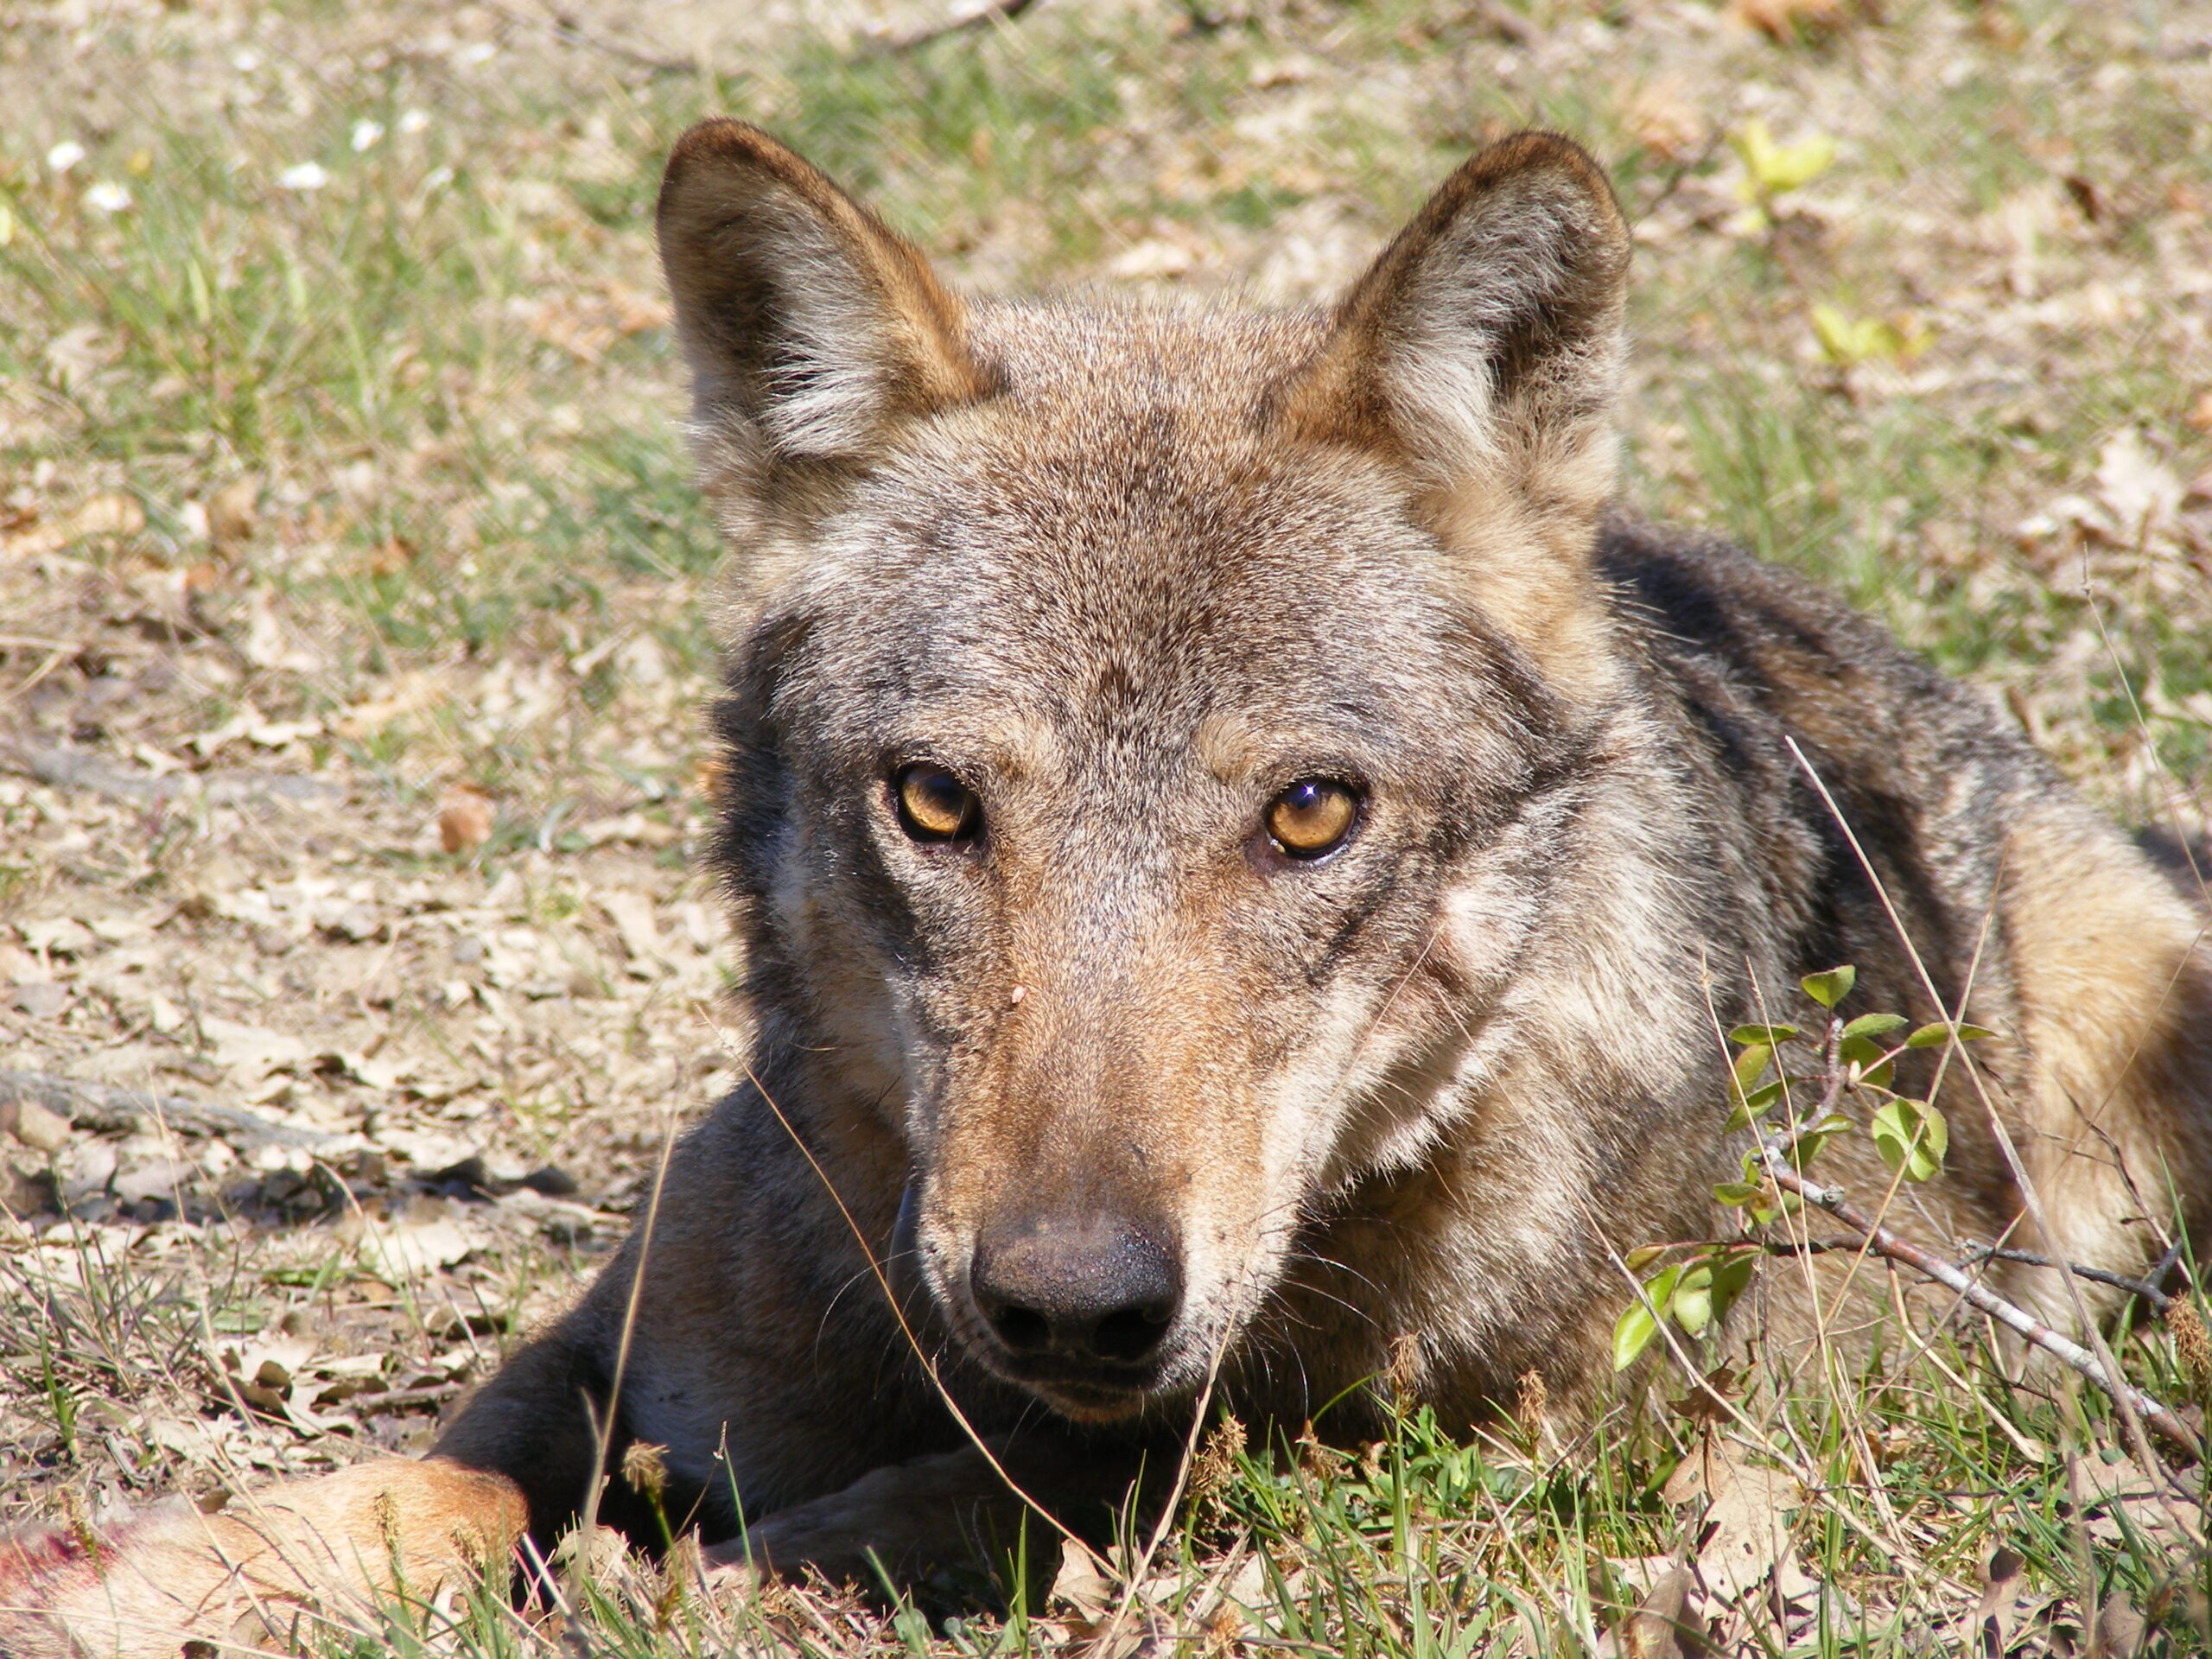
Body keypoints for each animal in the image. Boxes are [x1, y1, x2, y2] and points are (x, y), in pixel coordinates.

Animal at [9, 119, 2202, 1659]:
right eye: (936, 805)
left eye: (1307, 816)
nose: (1070, 1302)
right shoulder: (611, 1365)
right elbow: (410, 1495)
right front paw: (137, 1581)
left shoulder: (1441, 1456)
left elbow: (994, 1506)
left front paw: (704, 1582)